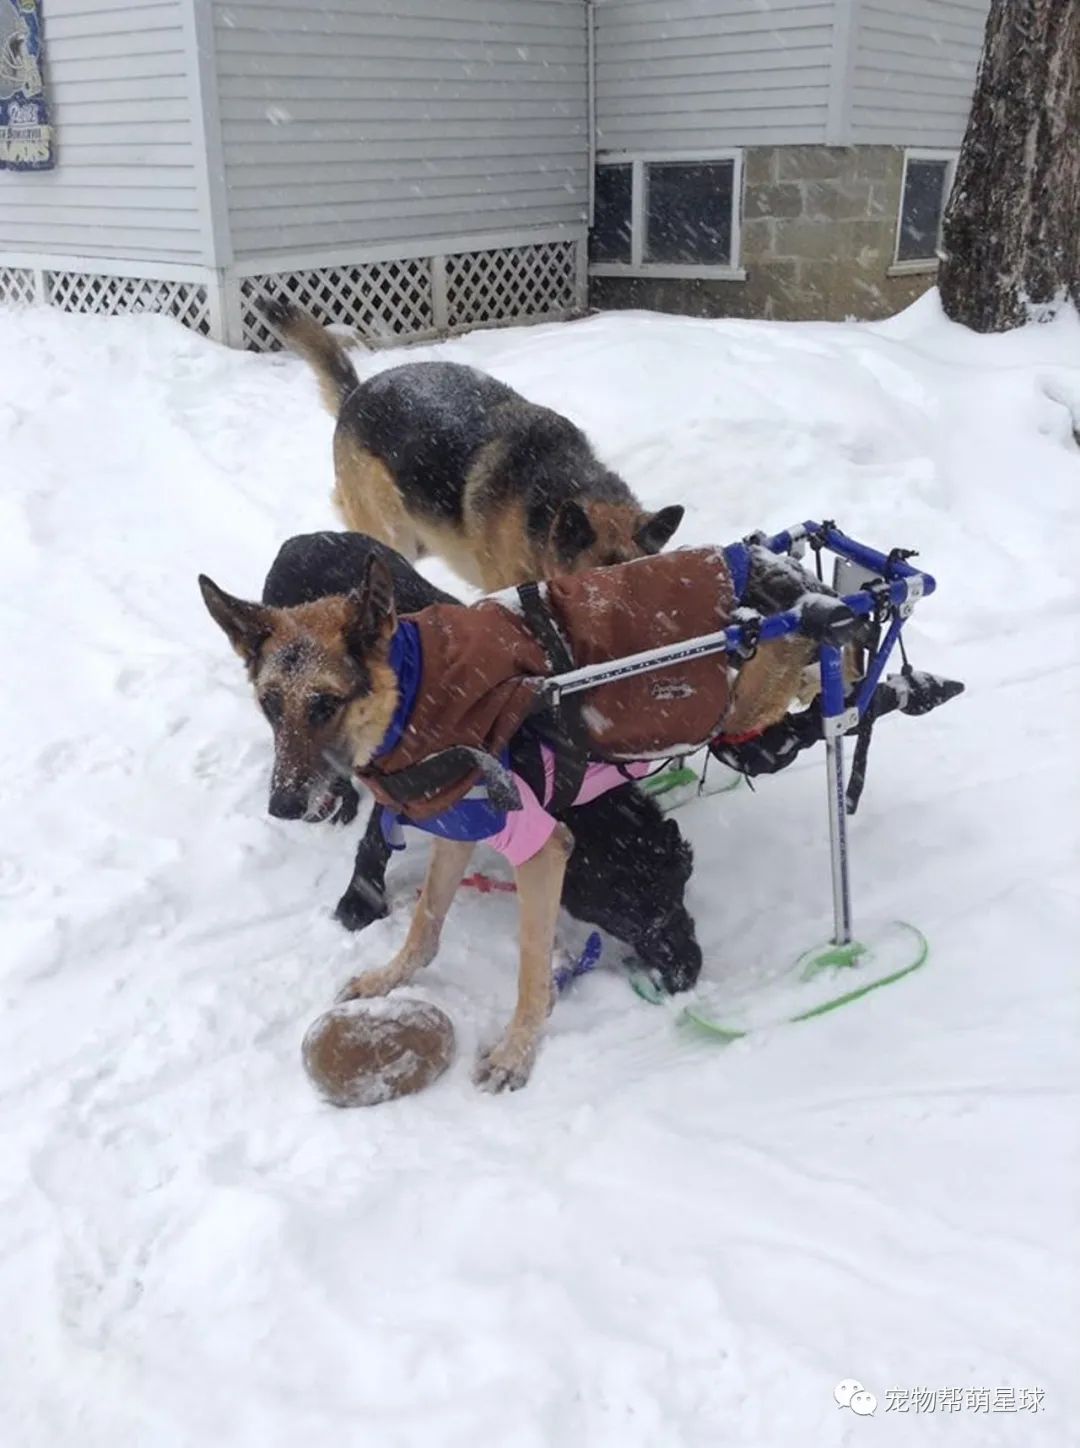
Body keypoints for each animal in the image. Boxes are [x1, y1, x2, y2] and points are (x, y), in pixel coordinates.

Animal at [201, 532, 697, 1088]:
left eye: (680, 888)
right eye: (631, 914)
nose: (690, 973)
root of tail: (301, 539)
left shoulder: (472, 825)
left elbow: (436, 921)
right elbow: (404, 878)